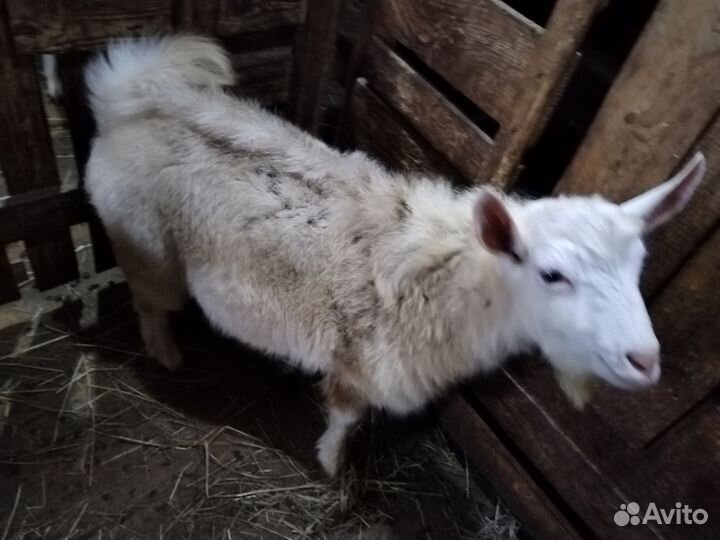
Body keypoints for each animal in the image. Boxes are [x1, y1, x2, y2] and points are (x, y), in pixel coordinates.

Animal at [85, 35, 705, 475]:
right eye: (553, 274)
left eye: (638, 266)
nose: (644, 361)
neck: (458, 288)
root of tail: (128, 100)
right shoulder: (361, 364)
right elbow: (345, 417)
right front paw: (332, 464)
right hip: (148, 250)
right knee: (149, 303)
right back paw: (166, 353)